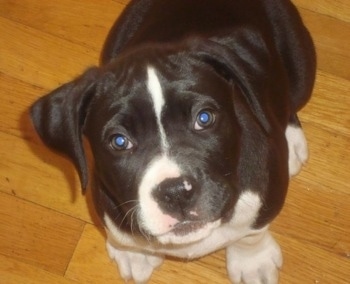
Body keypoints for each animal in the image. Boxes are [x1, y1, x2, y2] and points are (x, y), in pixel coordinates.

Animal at [31, 0, 316, 282]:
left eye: (204, 118)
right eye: (119, 141)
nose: (176, 192)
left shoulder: (268, 189)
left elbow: (252, 233)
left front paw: (252, 263)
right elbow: (118, 233)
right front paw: (133, 253)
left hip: (300, 65)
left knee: (286, 98)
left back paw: (291, 141)